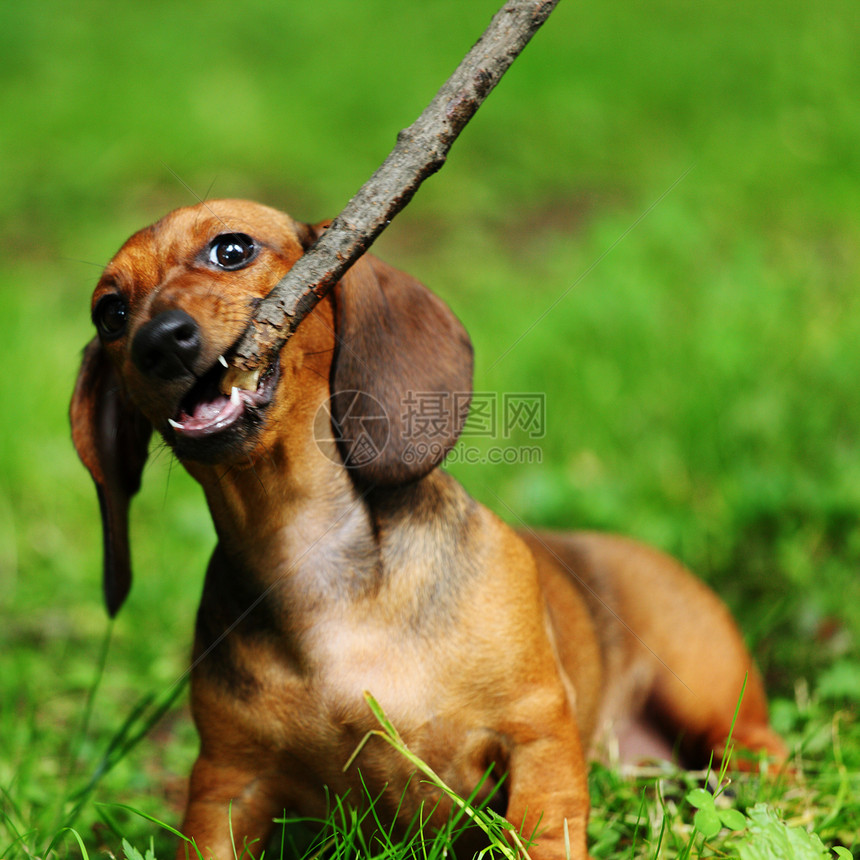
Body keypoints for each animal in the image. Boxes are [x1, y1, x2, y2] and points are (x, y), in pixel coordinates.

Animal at [72, 198, 788, 856]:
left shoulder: (536, 731)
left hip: (707, 693)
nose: (159, 341)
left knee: (762, 748)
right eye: (110, 313)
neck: (313, 561)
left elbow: (541, 831)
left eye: (231, 249)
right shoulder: (227, 782)